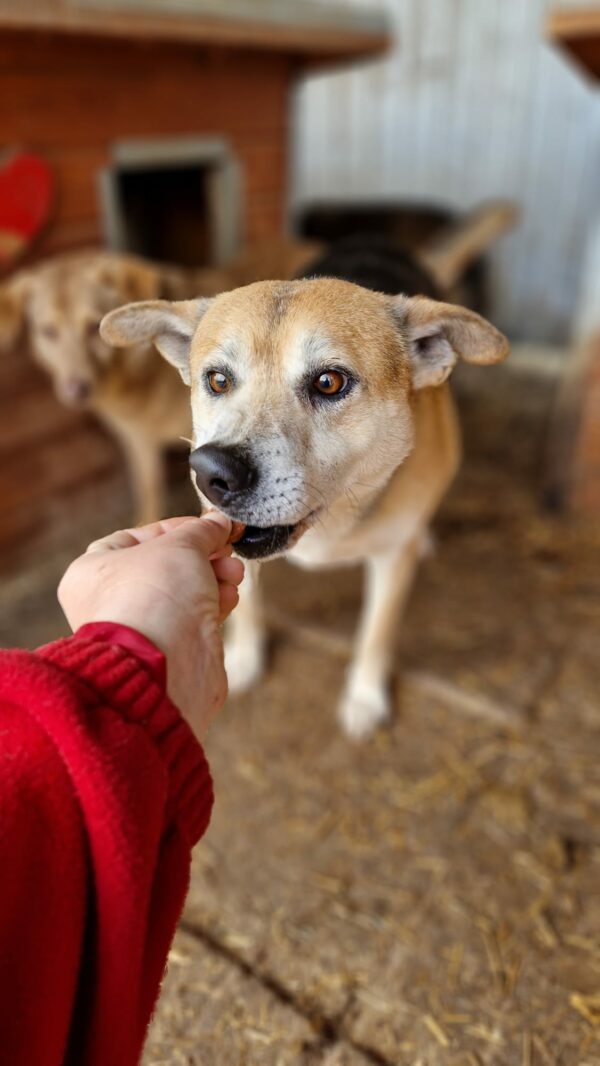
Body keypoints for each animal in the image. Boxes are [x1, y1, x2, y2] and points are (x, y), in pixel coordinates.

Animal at [100, 227, 509, 741]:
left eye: (329, 382)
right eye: (217, 380)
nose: (211, 472)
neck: (333, 518)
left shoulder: (392, 559)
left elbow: (377, 631)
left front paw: (365, 696)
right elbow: (248, 604)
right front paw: (244, 657)